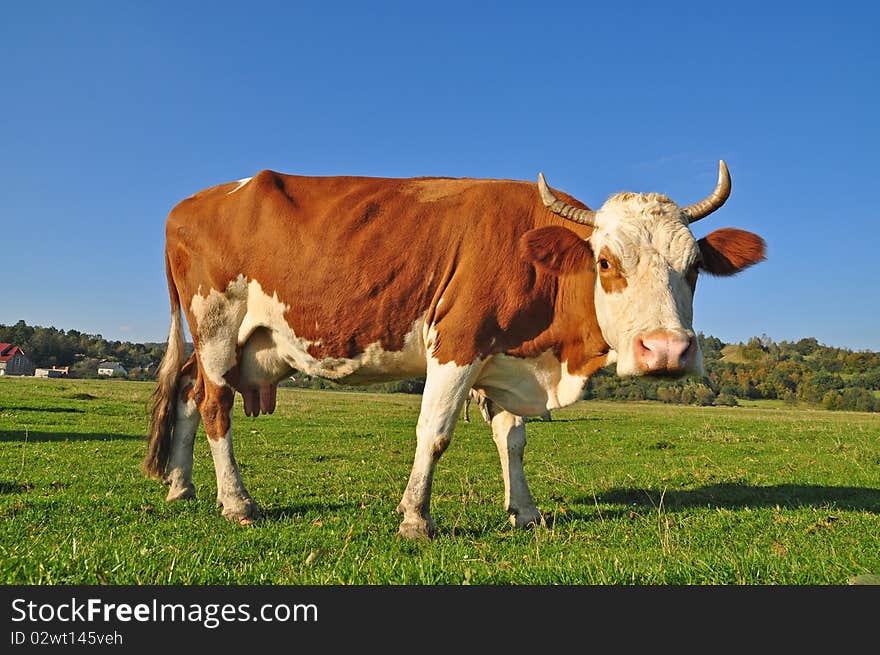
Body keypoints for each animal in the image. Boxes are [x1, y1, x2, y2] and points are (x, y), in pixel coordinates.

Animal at [143, 160, 764, 540]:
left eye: (695, 267)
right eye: (606, 262)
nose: (667, 351)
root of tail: (188, 204)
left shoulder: (506, 358)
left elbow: (512, 439)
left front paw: (525, 511)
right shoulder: (458, 344)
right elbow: (435, 432)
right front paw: (415, 518)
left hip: (231, 345)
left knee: (189, 395)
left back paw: (181, 486)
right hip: (217, 328)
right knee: (216, 408)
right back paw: (236, 503)